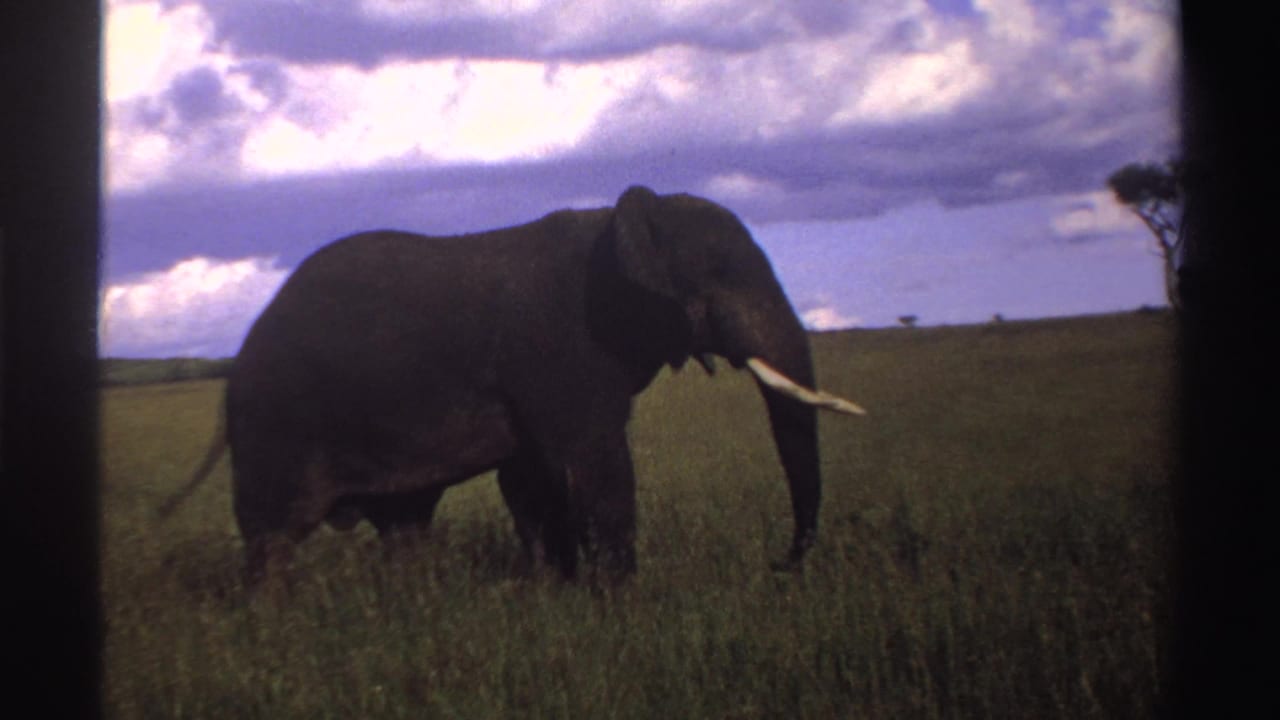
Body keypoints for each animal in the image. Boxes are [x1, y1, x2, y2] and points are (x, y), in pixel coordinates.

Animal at [164, 185, 864, 586]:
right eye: (720, 272)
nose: (778, 565)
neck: (619, 224)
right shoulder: (563, 348)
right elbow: (595, 469)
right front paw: (621, 604)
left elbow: (532, 480)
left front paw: (553, 591)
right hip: (276, 421)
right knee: (274, 536)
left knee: (403, 524)